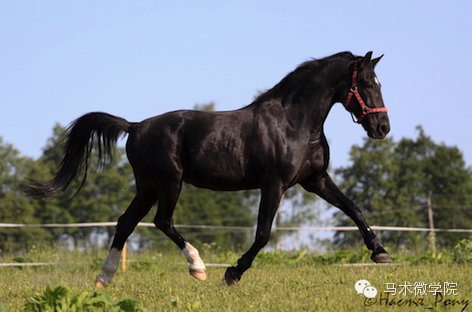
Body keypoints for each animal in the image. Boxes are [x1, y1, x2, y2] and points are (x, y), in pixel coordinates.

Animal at [26, 50, 394, 286]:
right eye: (366, 84)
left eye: (379, 83)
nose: (382, 128)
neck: (295, 124)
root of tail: (135, 126)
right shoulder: (274, 185)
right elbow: (262, 235)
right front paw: (232, 274)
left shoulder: (315, 179)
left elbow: (354, 209)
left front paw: (381, 253)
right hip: (169, 183)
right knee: (162, 221)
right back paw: (198, 267)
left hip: (147, 186)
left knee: (125, 223)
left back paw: (104, 278)